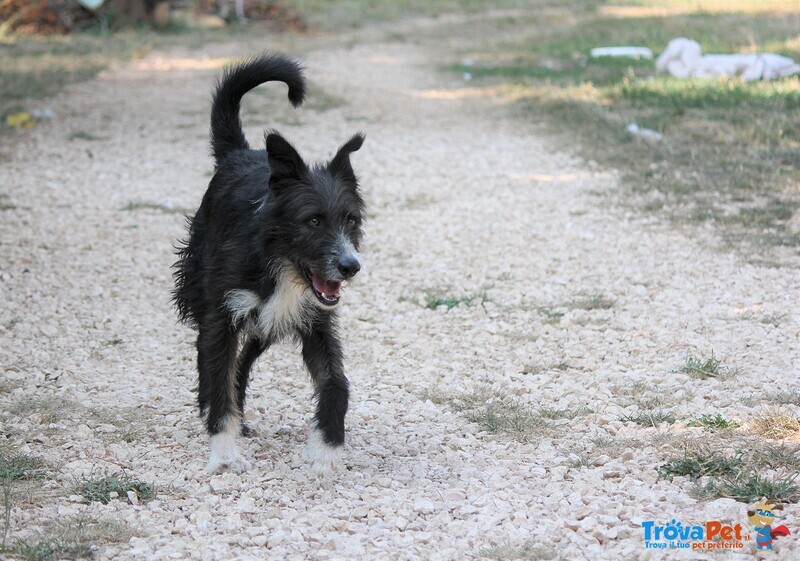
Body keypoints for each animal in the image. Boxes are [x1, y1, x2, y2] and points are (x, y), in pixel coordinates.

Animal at [173, 52, 368, 474]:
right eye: (313, 221)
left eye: (350, 219)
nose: (351, 266)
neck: (278, 264)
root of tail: (239, 153)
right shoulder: (222, 316)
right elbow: (217, 373)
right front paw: (223, 452)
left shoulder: (315, 320)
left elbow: (337, 382)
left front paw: (328, 447)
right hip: (203, 291)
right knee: (210, 358)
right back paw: (212, 412)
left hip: (267, 323)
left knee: (244, 361)